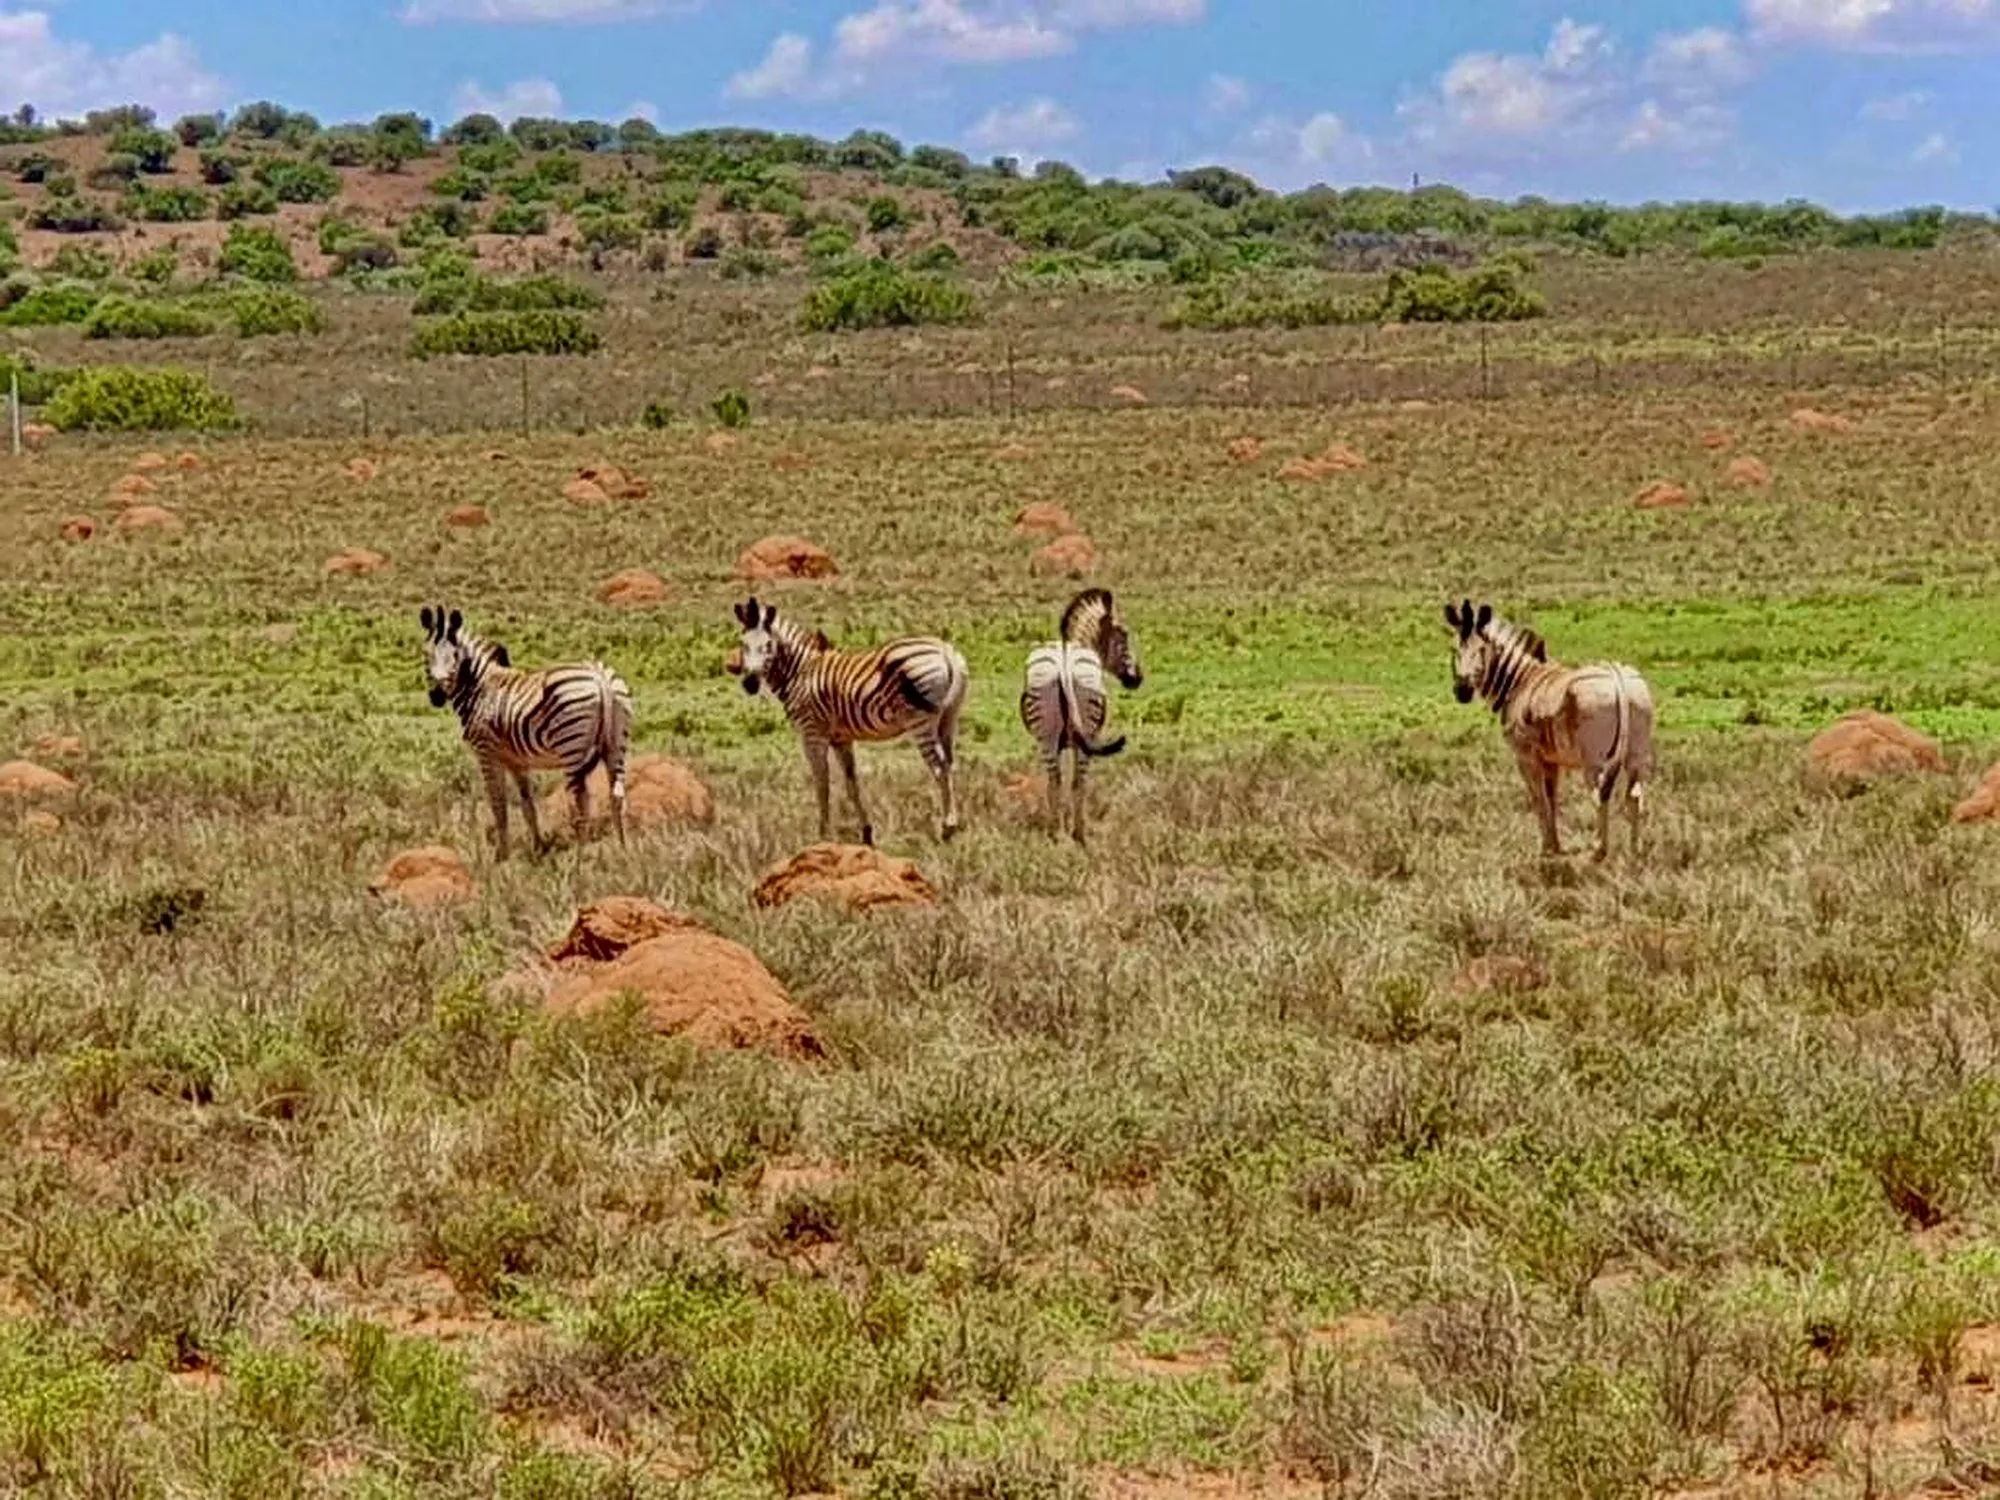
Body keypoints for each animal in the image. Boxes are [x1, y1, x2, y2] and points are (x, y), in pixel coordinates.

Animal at [419, 604, 632, 861]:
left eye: (455, 656)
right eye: (426, 655)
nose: (437, 696)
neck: (479, 688)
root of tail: (599, 677)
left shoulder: (486, 753)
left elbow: (498, 805)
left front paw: (502, 856)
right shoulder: (516, 761)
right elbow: (527, 805)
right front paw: (538, 848)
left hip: (571, 745)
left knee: (581, 801)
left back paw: (579, 857)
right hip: (616, 744)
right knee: (617, 795)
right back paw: (622, 849)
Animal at [732, 595, 969, 847]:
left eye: (768, 645)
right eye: (743, 644)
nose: (749, 684)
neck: (800, 671)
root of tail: (945, 651)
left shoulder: (812, 733)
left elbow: (822, 783)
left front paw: (823, 834)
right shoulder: (841, 738)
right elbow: (851, 783)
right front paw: (866, 833)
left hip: (920, 721)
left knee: (939, 767)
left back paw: (948, 827)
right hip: (949, 717)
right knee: (949, 764)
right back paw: (953, 824)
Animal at [1019, 587, 1143, 843]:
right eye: (1124, 636)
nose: (1138, 678)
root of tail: (1064, 668)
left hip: (1048, 736)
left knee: (1056, 781)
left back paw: (1056, 832)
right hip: (1089, 732)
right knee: (1079, 782)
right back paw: (1078, 833)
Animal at [1444, 598, 1653, 862]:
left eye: (1481, 651)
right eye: (1454, 650)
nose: (1462, 691)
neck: (1520, 680)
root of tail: (1618, 677)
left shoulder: (1526, 757)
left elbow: (1538, 798)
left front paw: (1546, 848)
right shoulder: (1552, 759)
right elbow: (1552, 798)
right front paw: (1555, 846)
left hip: (1593, 760)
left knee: (1600, 795)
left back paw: (1598, 851)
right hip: (1637, 753)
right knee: (1634, 796)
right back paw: (1636, 851)